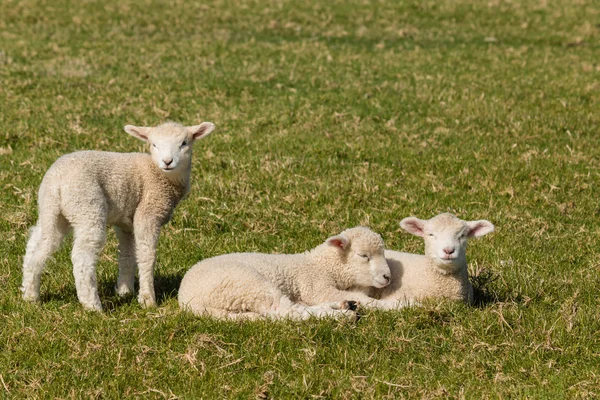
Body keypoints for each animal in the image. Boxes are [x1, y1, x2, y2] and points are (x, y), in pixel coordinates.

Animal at [20, 120, 216, 310]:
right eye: (154, 144)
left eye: (184, 143)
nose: (168, 161)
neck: (159, 174)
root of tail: (57, 180)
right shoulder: (148, 212)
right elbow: (147, 255)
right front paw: (147, 299)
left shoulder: (126, 221)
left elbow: (127, 254)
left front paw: (125, 291)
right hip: (87, 205)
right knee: (82, 258)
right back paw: (93, 305)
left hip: (52, 210)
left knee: (38, 245)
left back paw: (30, 295)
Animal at [177, 227, 394, 320]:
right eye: (363, 255)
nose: (388, 277)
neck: (322, 265)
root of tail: (186, 300)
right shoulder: (316, 287)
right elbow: (365, 299)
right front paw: (395, 306)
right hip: (246, 284)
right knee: (287, 312)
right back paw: (342, 315)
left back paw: (342, 306)